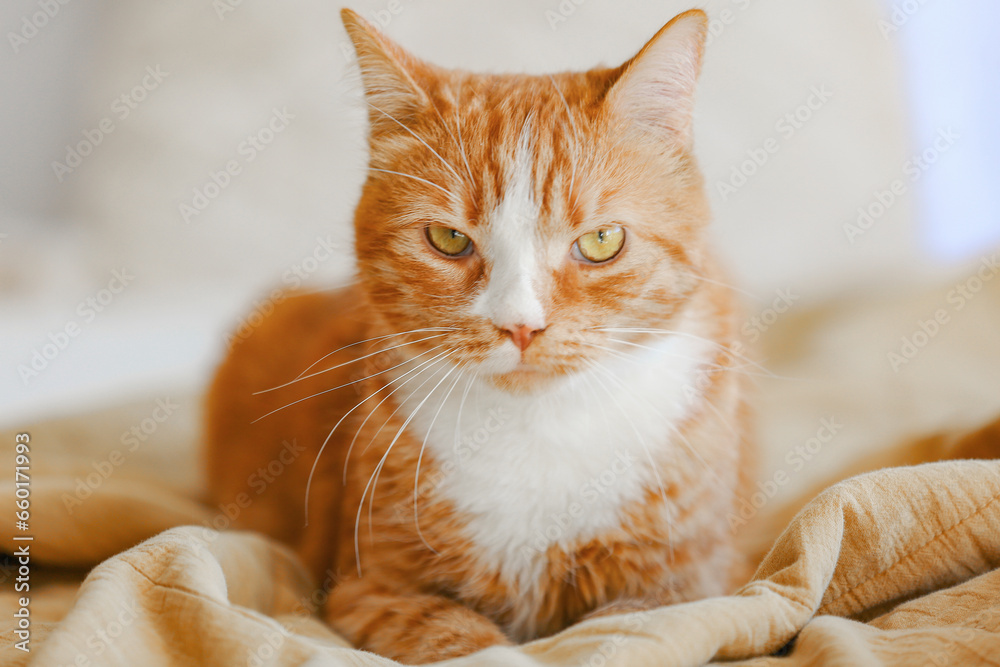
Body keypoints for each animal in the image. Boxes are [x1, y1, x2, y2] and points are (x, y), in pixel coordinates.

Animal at [205, 7, 752, 664]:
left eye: (601, 241)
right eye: (448, 240)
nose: (520, 325)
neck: (536, 433)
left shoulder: (689, 593)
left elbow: (625, 634)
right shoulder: (369, 591)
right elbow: (463, 639)